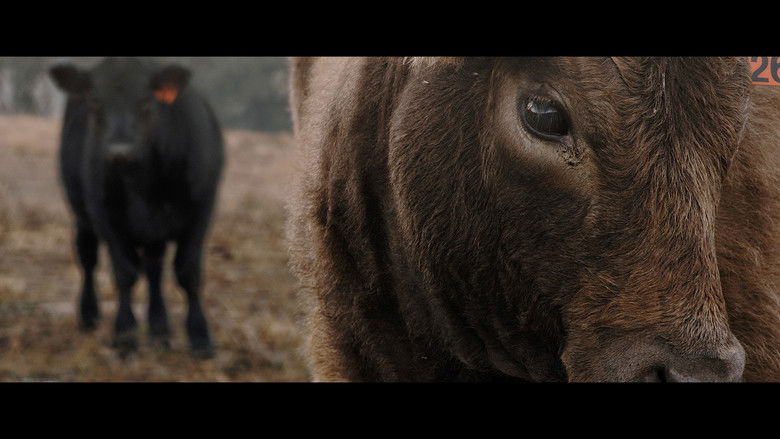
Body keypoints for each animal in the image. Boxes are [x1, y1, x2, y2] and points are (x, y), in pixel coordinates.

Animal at [50, 57, 224, 358]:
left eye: (145, 101)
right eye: (96, 101)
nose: (119, 151)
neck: (142, 182)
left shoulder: (200, 212)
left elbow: (188, 272)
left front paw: (200, 338)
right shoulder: (106, 217)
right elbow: (125, 273)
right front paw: (125, 337)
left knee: (154, 269)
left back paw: (160, 329)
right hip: (81, 215)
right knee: (88, 258)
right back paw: (89, 314)